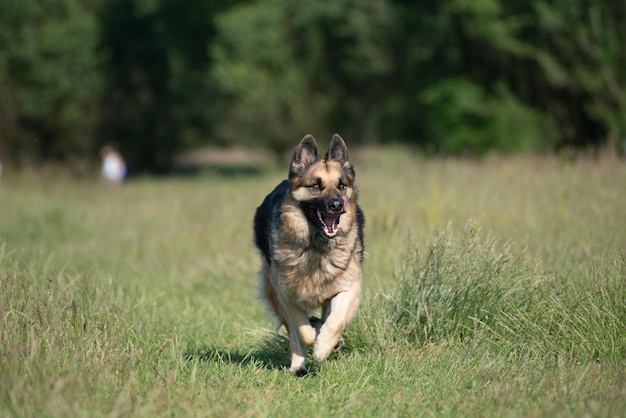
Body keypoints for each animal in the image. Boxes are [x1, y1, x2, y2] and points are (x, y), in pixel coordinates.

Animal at [252, 134, 364, 376]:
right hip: (273, 291)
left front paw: (323, 348)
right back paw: (298, 366)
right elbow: (302, 330)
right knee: (294, 332)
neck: (315, 247)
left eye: (341, 185)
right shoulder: (285, 294)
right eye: (315, 185)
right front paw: (314, 337)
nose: (337, 204)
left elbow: (336, 321)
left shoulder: (349, 287)